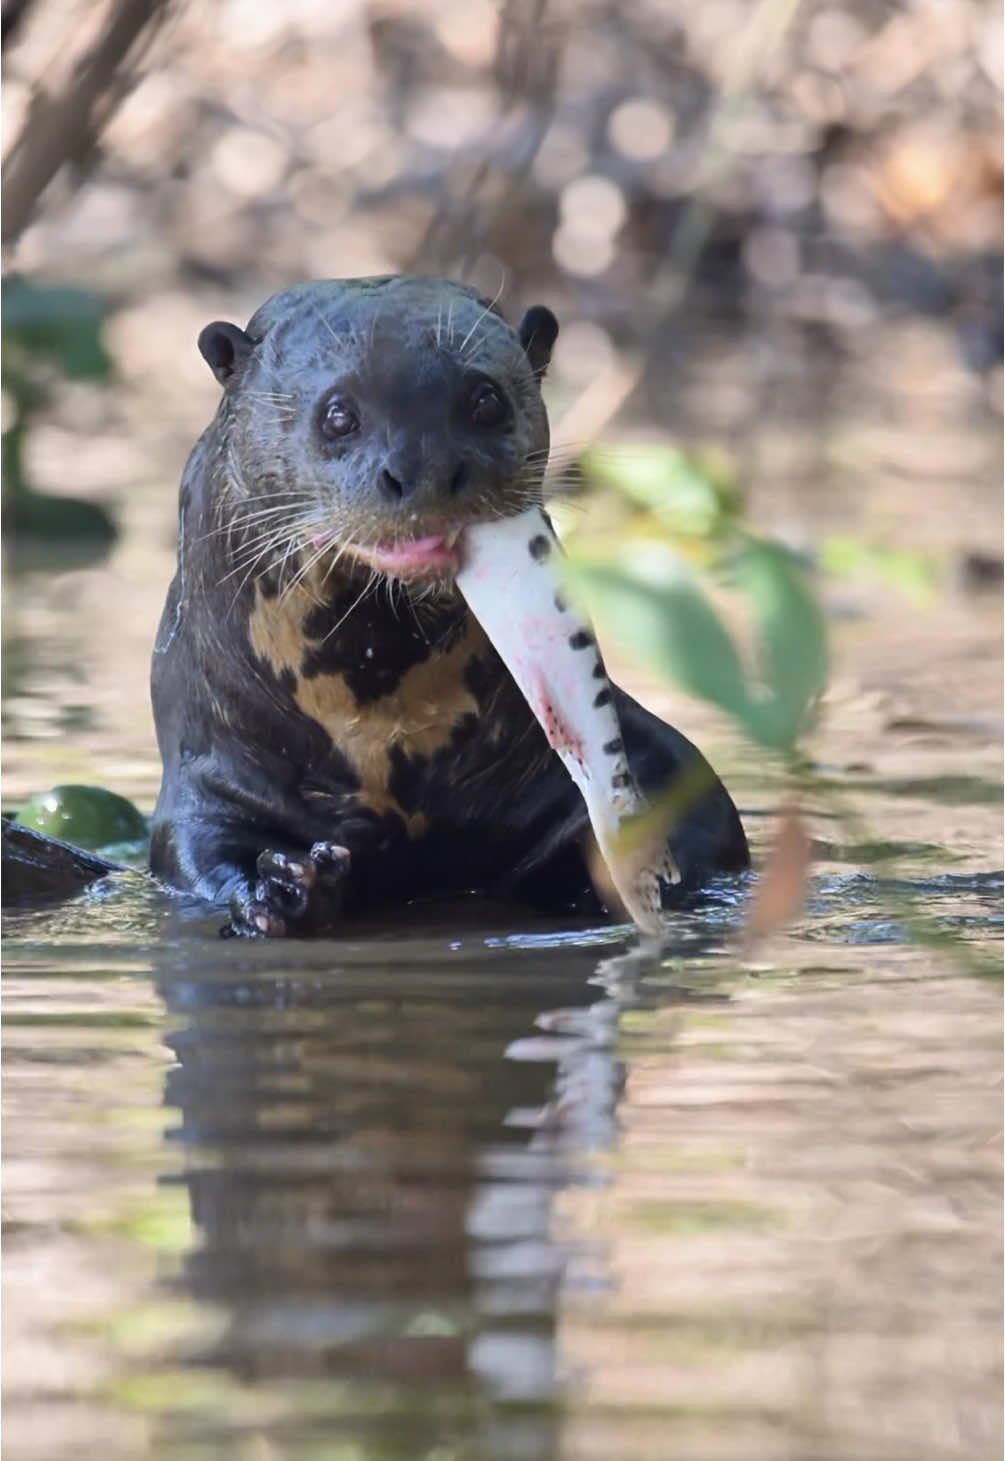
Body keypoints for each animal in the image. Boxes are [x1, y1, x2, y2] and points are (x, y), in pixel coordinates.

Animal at [150, 276, 748, 936]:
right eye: (338, 415)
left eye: (485, 400)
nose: (426, 469)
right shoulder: (210, 775)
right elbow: (195, 847)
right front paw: (278, 891)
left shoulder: (655, 755)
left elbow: (700, 806)